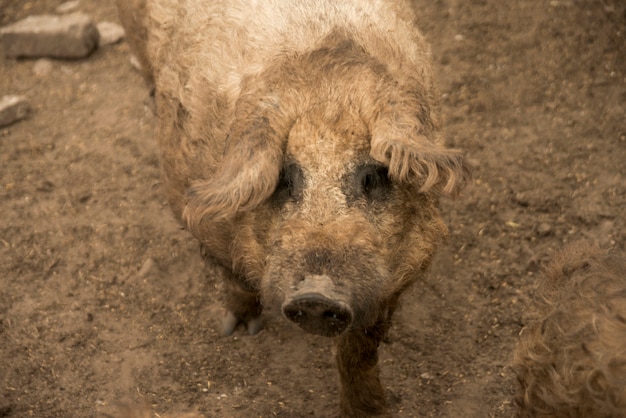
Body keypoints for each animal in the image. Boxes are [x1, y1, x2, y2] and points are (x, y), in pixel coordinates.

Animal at [114, 1, 466, 416]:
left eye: (372, 175)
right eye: (286, 178)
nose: (316, 295)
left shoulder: (396, 278)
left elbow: (359, 350)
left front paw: (370, 410)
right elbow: (232, 276)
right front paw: (239, 330)